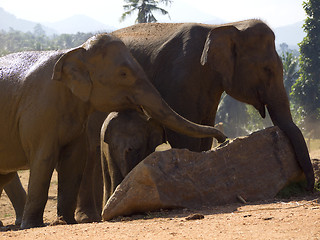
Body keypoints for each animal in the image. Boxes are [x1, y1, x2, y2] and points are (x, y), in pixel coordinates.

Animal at [0, 32, 225, 228]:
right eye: (123, 74)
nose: (223, 137)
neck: (74, 51)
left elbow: (74, 161)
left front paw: (65, 222)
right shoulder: (39, 112)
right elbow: (44, 159)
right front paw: (32, 226)